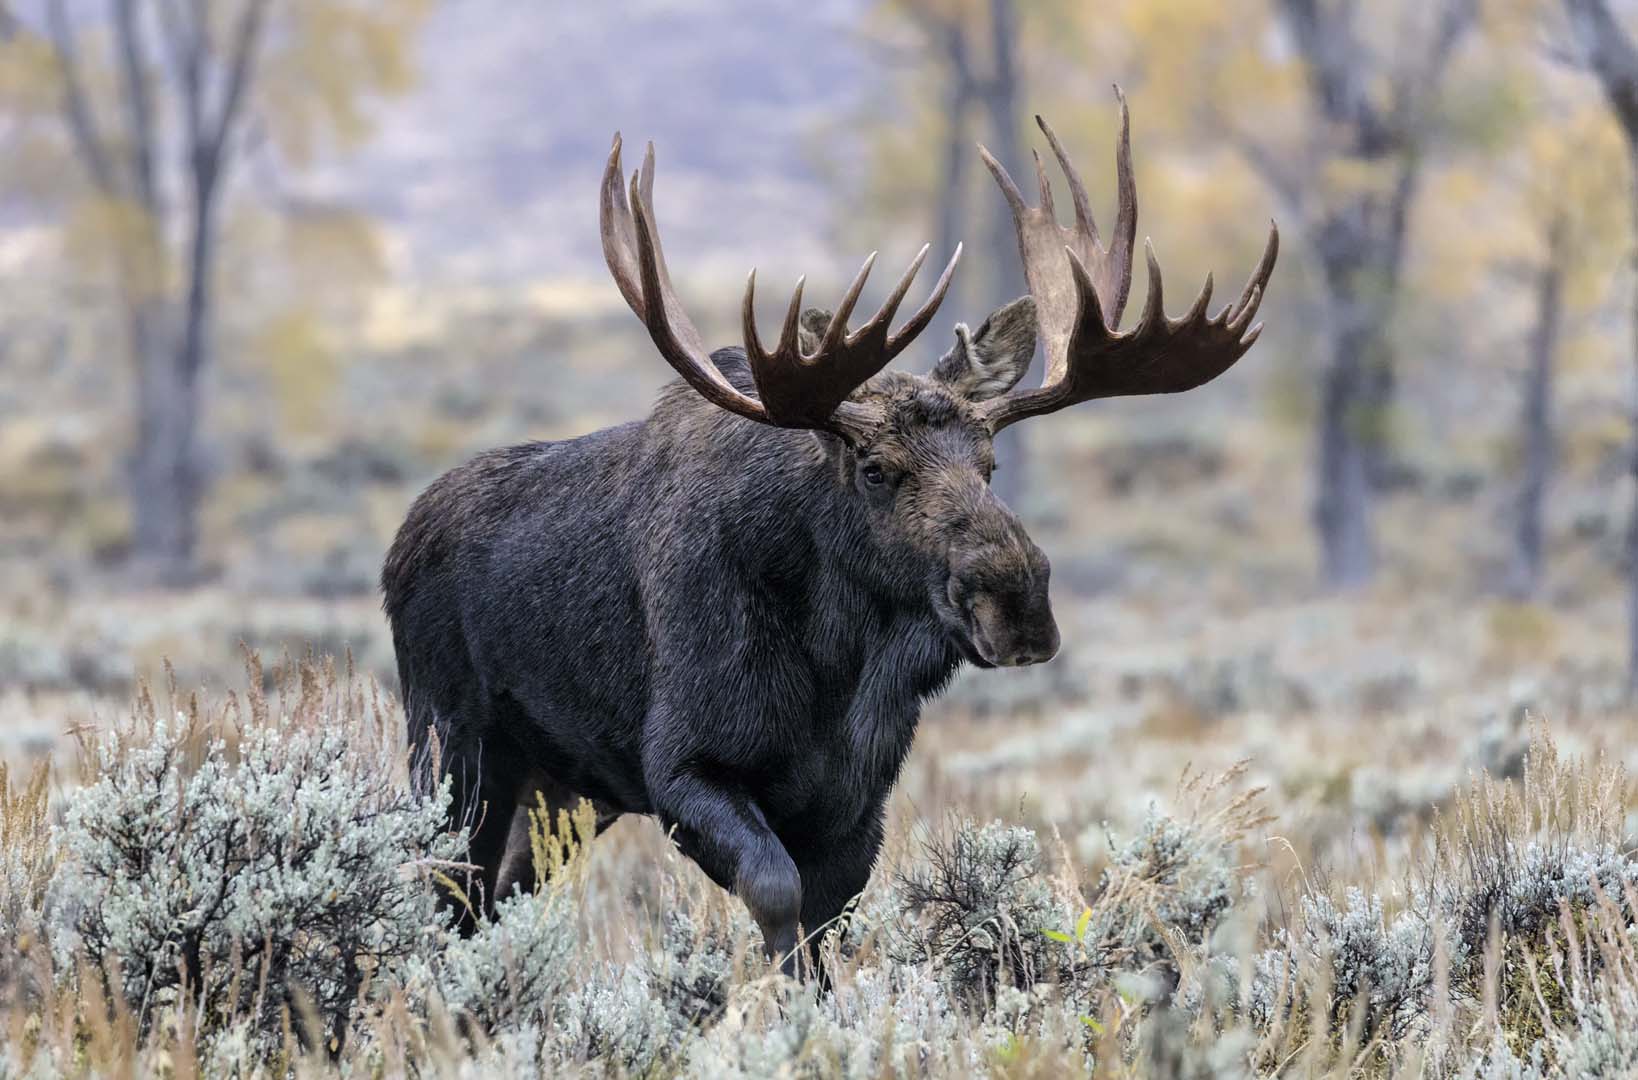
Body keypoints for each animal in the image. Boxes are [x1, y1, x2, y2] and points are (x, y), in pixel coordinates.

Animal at [382, 91, 1277, 977]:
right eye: (875, 469)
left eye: (990, 463)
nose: (1018, 605)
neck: (836, 669)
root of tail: (398, 546)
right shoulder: (680, 765)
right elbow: (777, 899)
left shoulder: (856, 802)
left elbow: (826, 928)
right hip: (454, 747)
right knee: (446, 890)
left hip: (562, 791)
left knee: (493, 898)